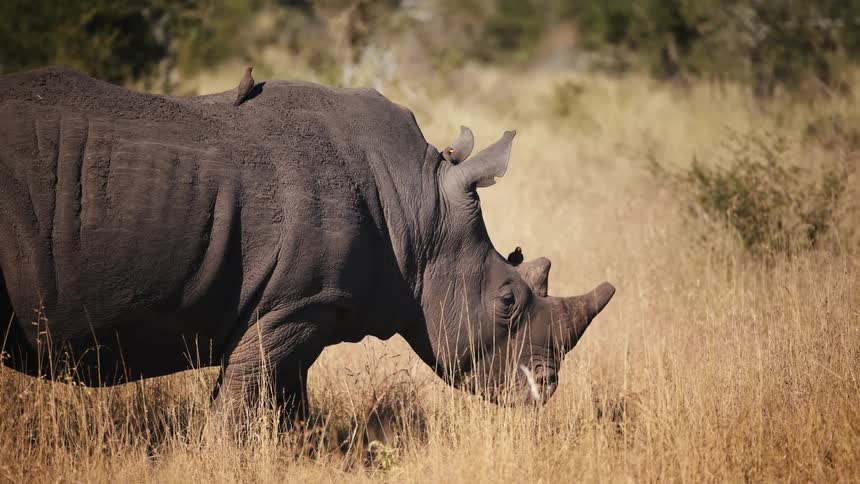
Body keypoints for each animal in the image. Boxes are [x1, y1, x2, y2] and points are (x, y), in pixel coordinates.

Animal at [0, 67, 614, 418]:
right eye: (507, 301)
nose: (545, 388)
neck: (419, 209)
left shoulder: (307, 309)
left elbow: (288, 406)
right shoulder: (293, 305)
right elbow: (243, 407)